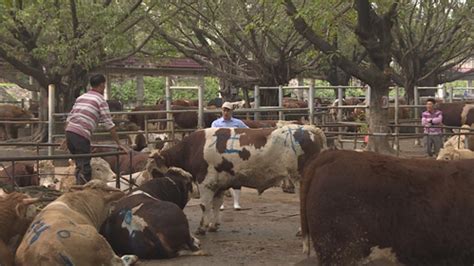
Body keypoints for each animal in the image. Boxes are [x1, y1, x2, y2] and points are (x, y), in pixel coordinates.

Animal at [151, 123, 326, 234]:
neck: (193, 147)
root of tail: (308, 129)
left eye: (152, 167)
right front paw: (213, 225)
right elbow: (216, 204)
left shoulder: (205, 181)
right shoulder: (218, 184)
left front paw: (201, 228)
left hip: (300, 178)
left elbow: (204, 205)